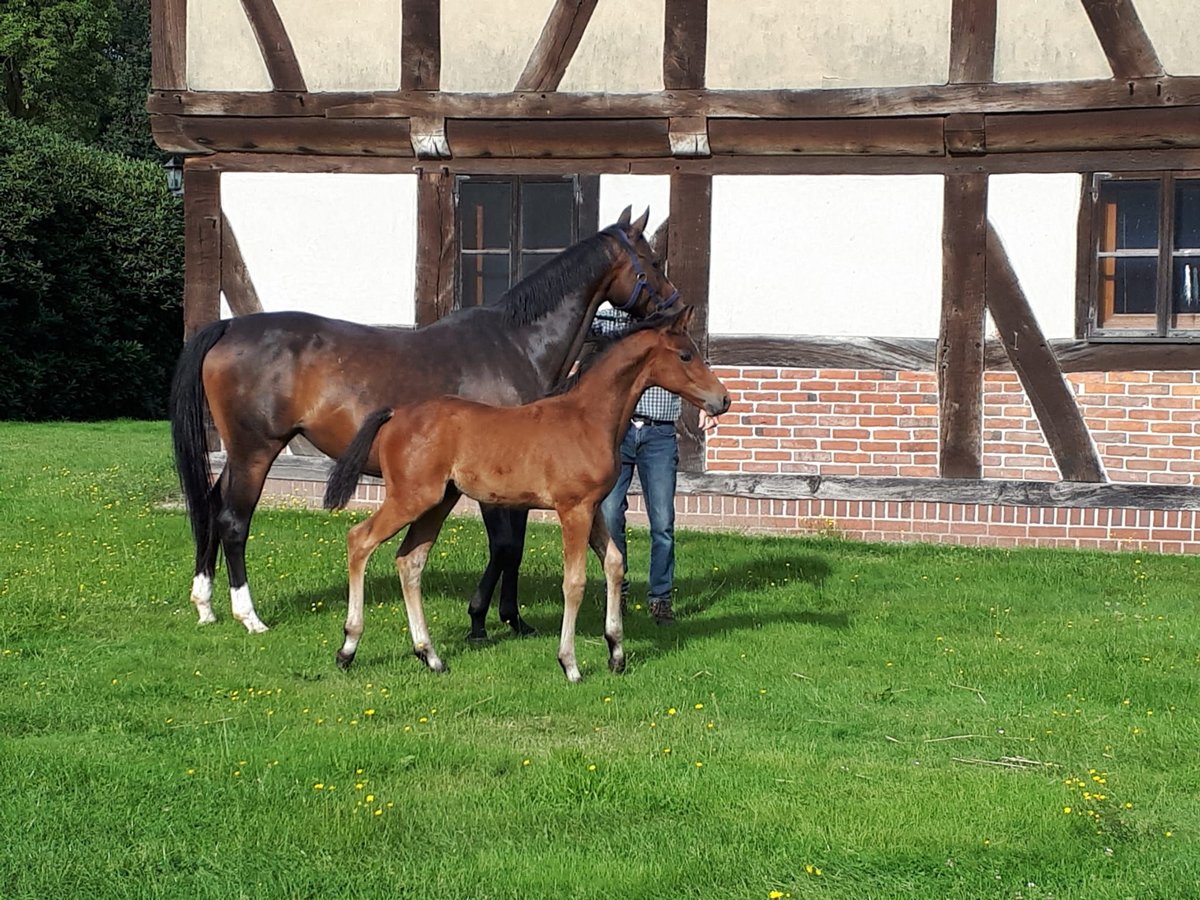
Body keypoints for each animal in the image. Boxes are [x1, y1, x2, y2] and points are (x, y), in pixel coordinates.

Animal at [321, 307, 729, 681]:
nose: (722, 400)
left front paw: (616, 653)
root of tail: (396, 414)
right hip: (411, 498)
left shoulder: (593, 507)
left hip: (439, 502)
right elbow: (575, 582)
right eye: (685, 355)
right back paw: (348, 648)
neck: (587, 419)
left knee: (410, 561)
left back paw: (431, 656)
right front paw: (570, 664)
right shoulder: (573, 509)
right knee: (359, 539)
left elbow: (614, 563)